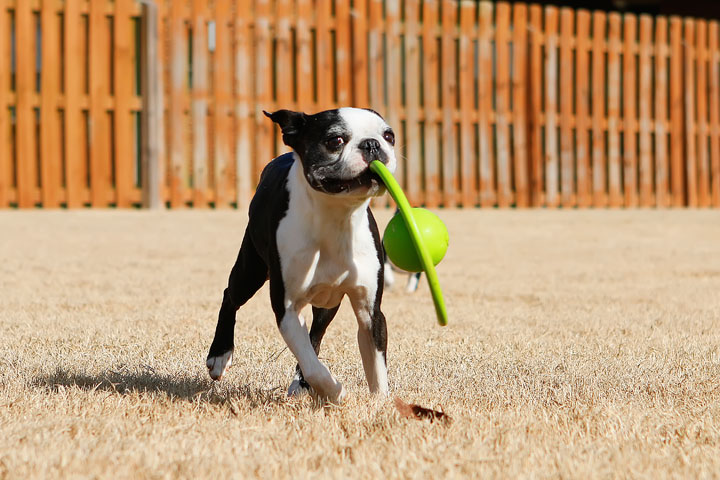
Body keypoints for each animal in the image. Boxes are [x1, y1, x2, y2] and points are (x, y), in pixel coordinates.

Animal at [204, 107, 400, 404]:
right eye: (335, 140)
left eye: (389, 136)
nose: (372, 144)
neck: (337, 218)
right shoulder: (286, 309)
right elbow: (313, 365)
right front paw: (335, 391)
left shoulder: (371, 312)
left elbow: (376, 368)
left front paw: (380, 404)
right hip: (251, 270)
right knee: (231, 296)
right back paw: (219, 356)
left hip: (328, 303)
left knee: (316, 333)